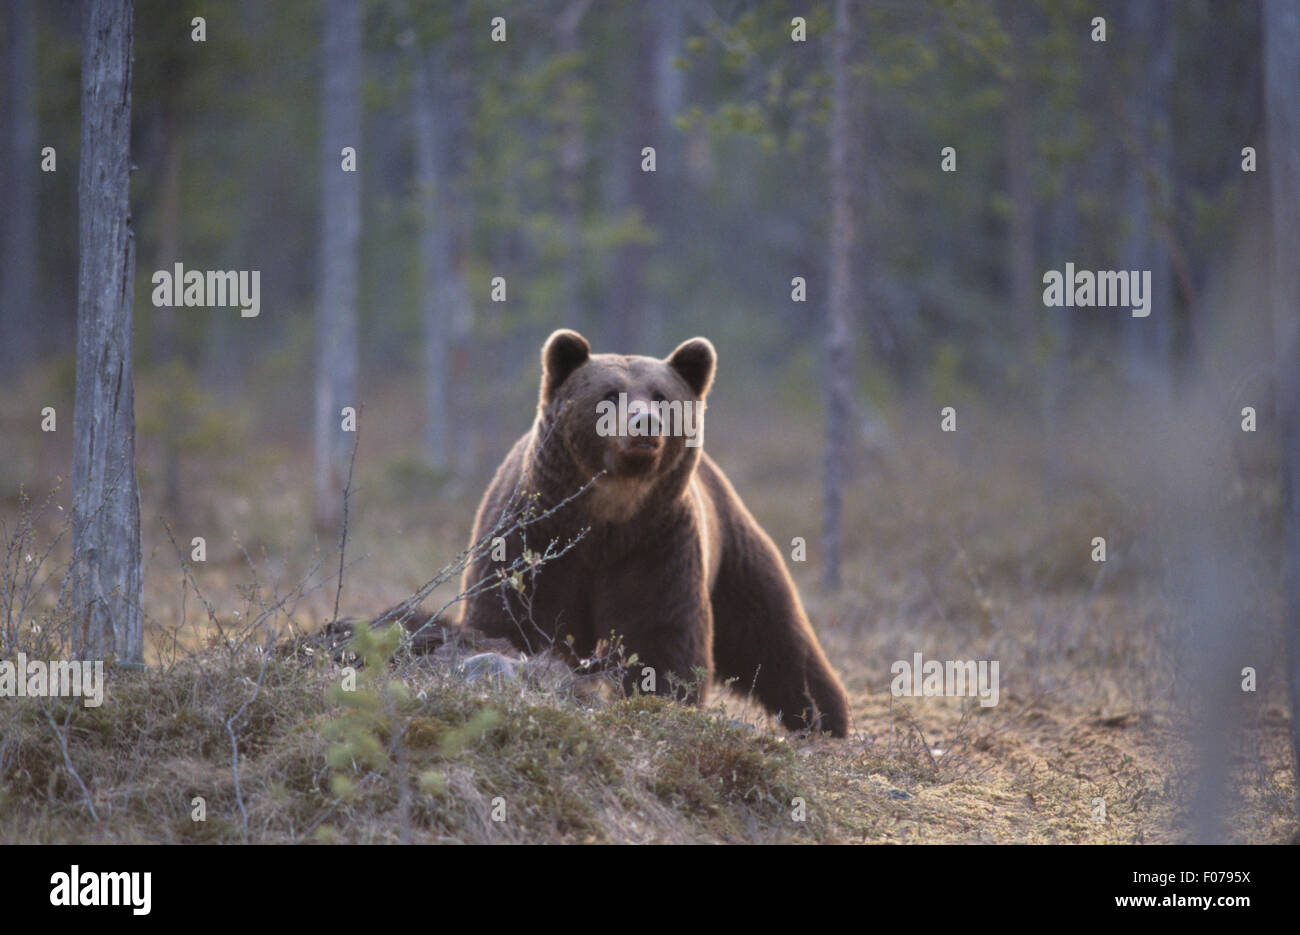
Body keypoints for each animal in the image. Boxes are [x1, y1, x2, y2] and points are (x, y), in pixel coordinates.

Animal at [460, 329, 852, 738]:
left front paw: (658, 700)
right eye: (610, 394)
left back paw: (824, 716)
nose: (644, 422)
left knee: (776, 634)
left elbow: (660, 634)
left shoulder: (656, 544)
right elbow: (510, 614)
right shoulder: (535, 536)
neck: (607, 514)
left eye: (661, 396)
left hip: (733, 550)